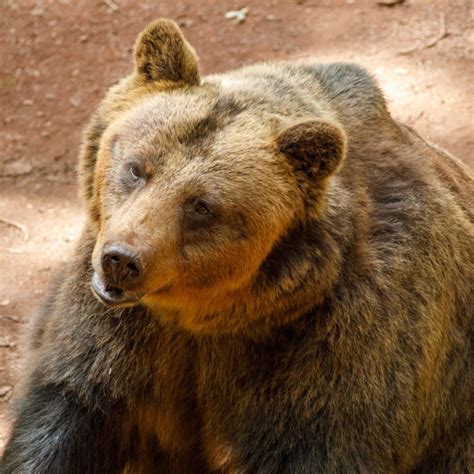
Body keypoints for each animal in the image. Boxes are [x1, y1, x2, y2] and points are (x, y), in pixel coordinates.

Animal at [1, 18, 472, 474]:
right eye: (137, 168)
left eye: (201, 206)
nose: (121, 260)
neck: (213, 315)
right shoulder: (117, 331)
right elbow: (70, 407)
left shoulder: (343, 341)